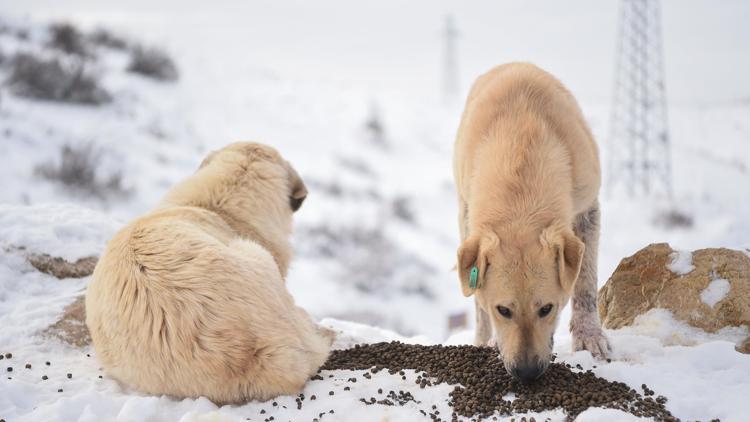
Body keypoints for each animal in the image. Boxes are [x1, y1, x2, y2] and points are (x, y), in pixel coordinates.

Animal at [456, 62, 612, 382]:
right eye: (503, 310)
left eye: (547, 309)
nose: (527, 373)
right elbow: (479, 300)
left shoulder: (587, 209)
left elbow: (585, 281)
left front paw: (589, 336)